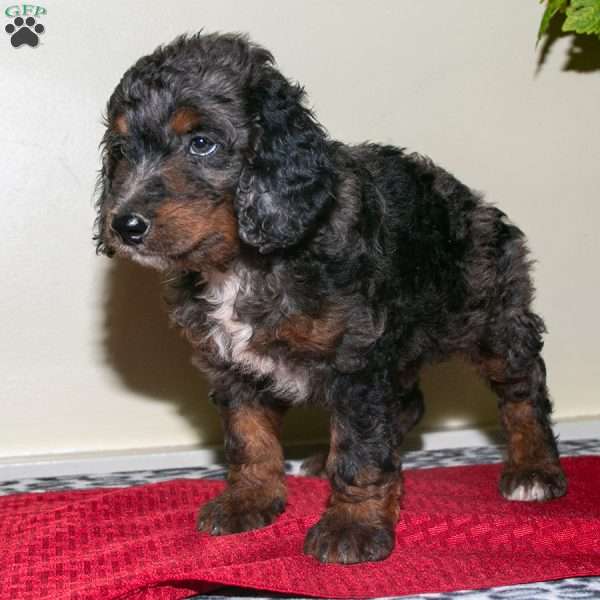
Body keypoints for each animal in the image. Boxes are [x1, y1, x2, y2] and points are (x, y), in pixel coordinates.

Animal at [95, 32, 568, 564]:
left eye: (202, 143)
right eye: (121, 149)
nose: (124, 224)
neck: (244, 262)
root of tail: (474, 201)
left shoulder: (355, 360)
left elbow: (361, 450)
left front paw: (352, 526)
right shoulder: (234, 367)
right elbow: (249, 438)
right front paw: (249, 500)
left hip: (492, 316)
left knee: (523, 391)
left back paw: (533, 470)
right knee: (408, 404)